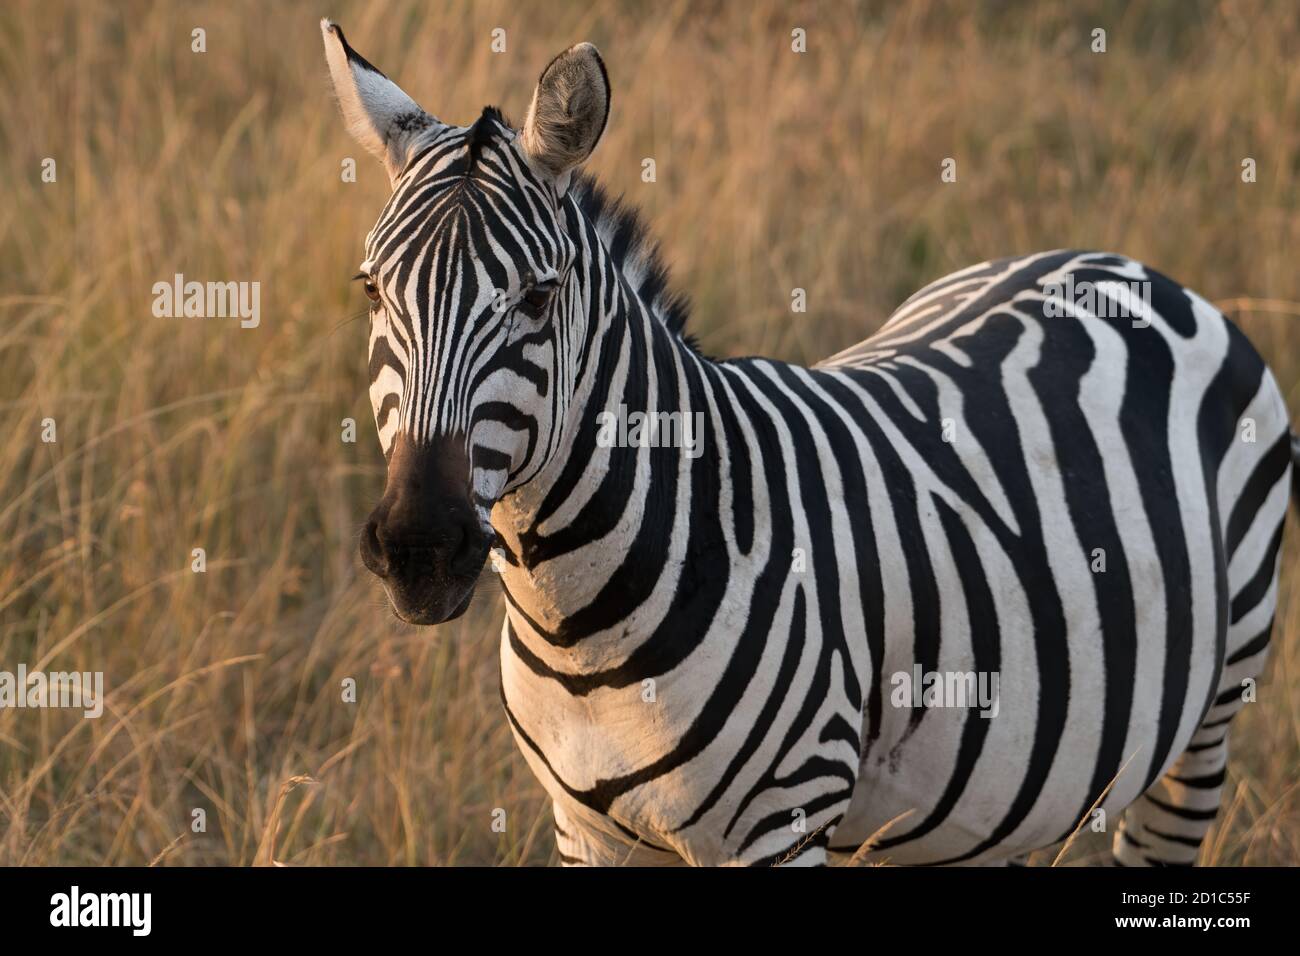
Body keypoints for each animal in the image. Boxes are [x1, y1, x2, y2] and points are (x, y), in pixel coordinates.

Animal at [319, 20, 1294, 868]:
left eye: (536, 297)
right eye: (370, 290)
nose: (418, 549)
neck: (579, 629)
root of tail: (1121, 264)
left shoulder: (783, 824)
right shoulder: (584, 828)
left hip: (1211, 720)